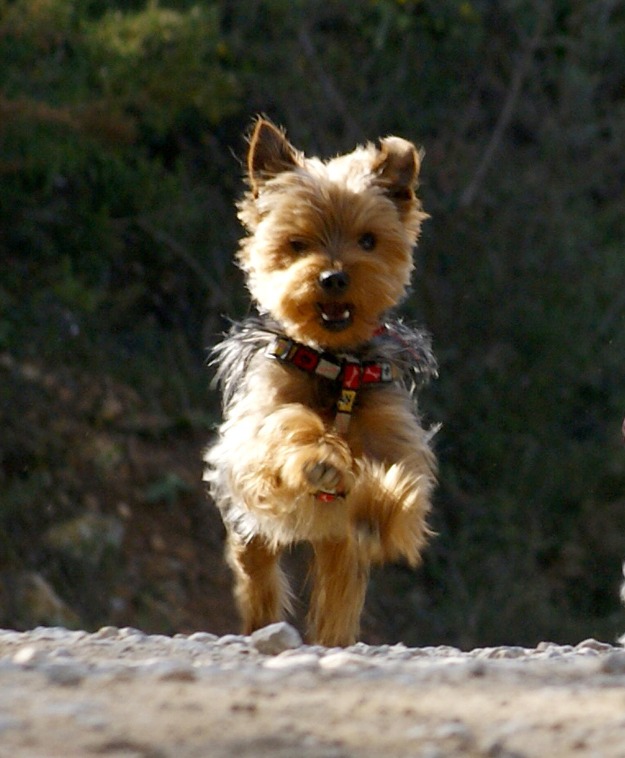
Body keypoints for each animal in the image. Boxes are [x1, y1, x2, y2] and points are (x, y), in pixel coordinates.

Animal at [202, 119, 436, 648]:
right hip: (251, 531)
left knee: (338, 593)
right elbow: (287, 426)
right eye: (297, 244)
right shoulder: (253, 439)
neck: (336, 363)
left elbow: (402, 487)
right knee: (260, 580)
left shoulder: (395, 437)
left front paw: (379, 506)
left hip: (336, 551)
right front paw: (320, 459)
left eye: (368, 241)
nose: (333, 278)